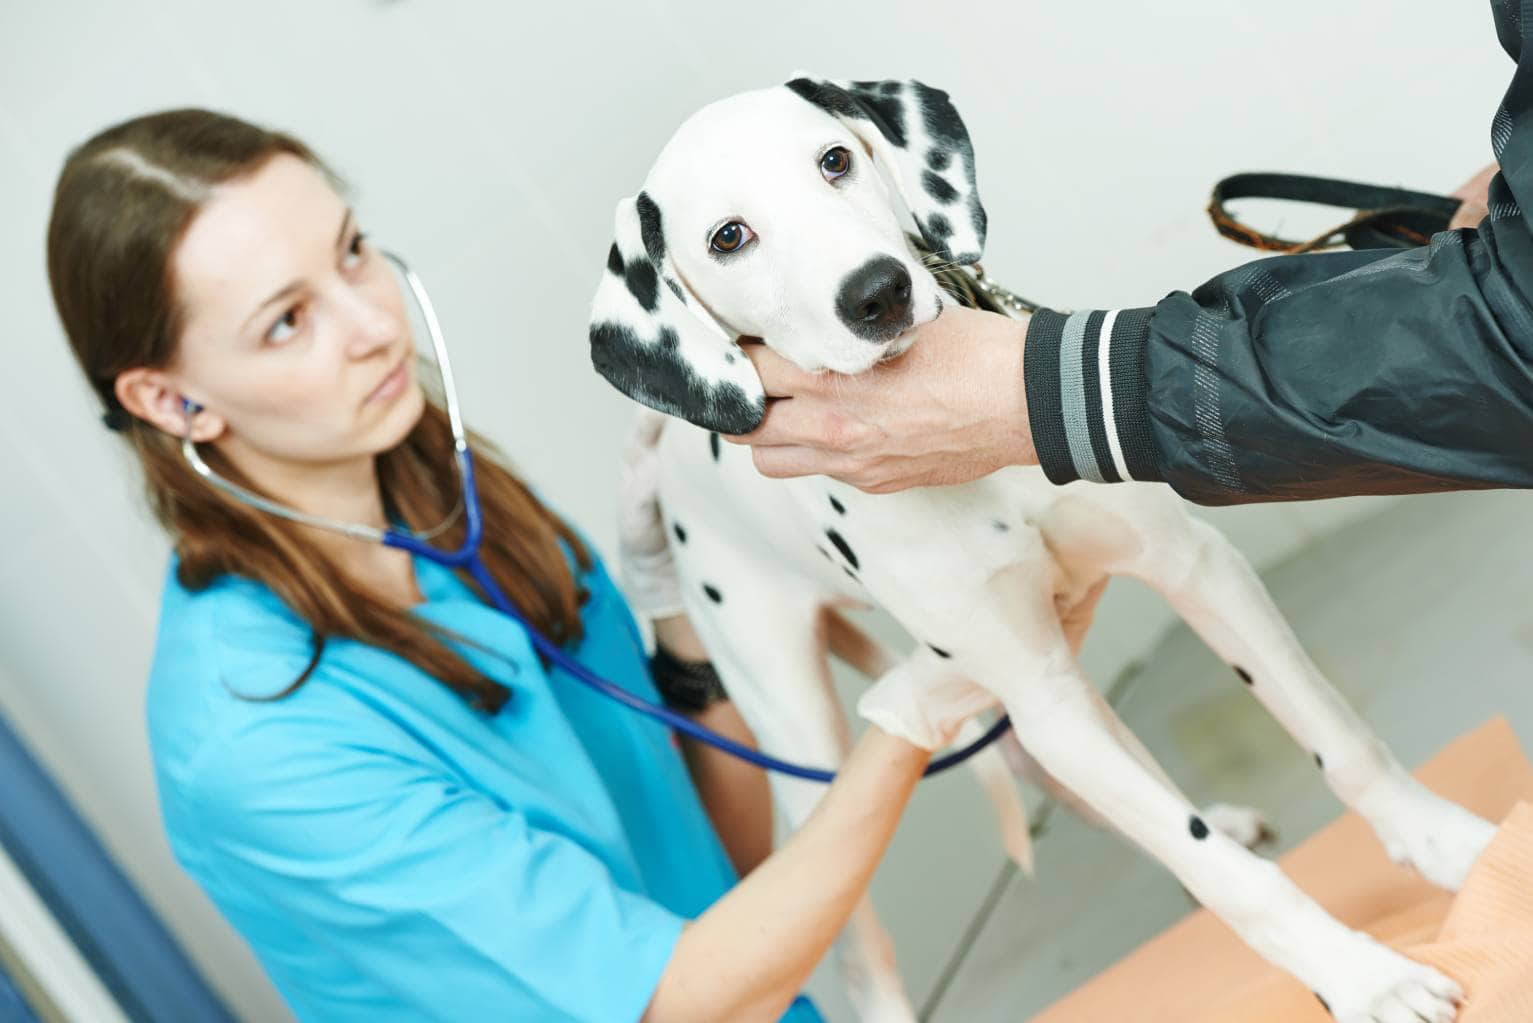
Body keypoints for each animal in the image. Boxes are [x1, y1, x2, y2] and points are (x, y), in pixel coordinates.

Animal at [585, 74, 1496, 1023]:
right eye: (728, 238)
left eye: (832, 160)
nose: (876, 293)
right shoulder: (1042, 693)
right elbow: (1227, 877)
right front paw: (1362, 976)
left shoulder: (1198, 573)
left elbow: (1338, 740)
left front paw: (1445, 843)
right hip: (804, 749)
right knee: (853, 934)